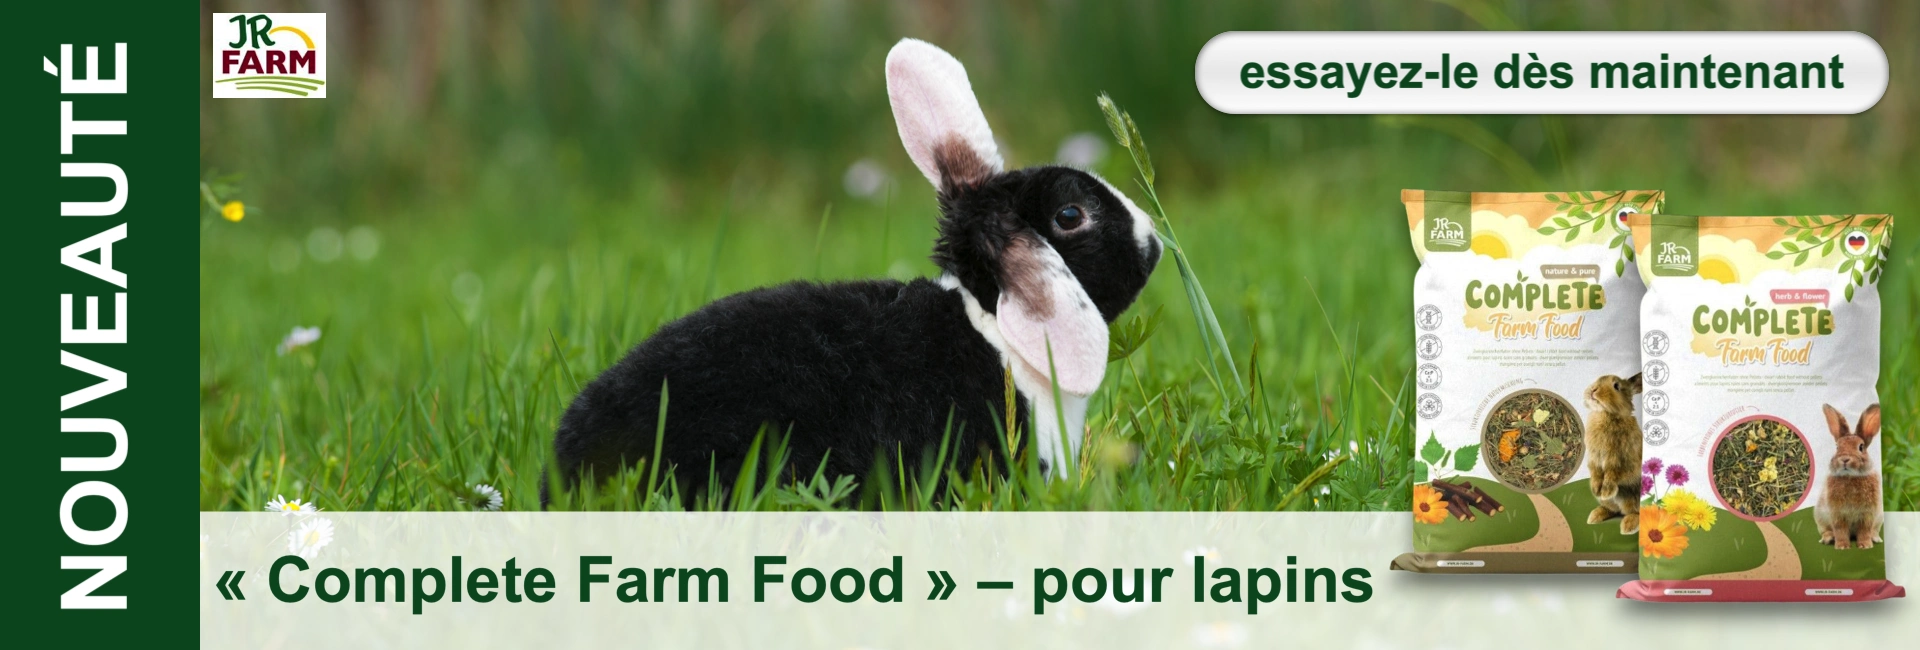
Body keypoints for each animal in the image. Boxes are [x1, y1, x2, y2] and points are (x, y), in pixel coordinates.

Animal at [1583, 373, 1643, 534]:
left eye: (1616, 386)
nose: (1593, 389)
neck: (1605, 413)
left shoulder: (1617, 458)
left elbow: (1611, 474)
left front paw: (1606, 491)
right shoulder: (1594, 458)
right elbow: (1596, 472)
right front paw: (1596, 490)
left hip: (1633, 498)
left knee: (1634, 512)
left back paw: (1627, 526)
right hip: (1612, 504)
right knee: (1613, 510)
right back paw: (1594, 516)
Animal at [1816, 404, 1882, 550]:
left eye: (1861, 447)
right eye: (1837, 447)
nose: (1845, 459)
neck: (1850, 476)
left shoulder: (1867, 513)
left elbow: (1864, 530)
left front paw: (1865, 545)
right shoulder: (1837, 513)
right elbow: (1840, 529)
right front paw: (1842, 547)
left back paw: (1876, 538)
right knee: (1826, 530)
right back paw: (1828, 538)